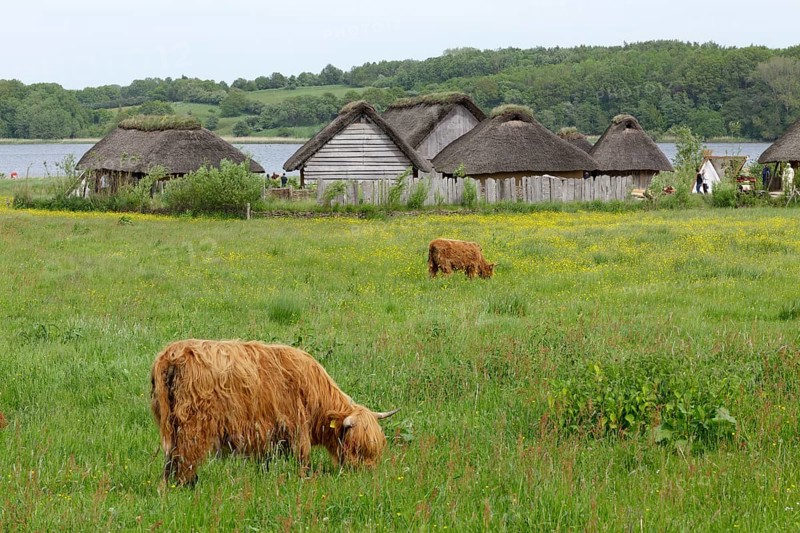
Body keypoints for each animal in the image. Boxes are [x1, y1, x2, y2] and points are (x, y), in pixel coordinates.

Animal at [150, 339, 399, 486]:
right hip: (193, 425)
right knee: (185, 458)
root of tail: (172, 354)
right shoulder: (297, 428)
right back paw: (187, 486)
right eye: (356, 447)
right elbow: (303, 459)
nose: (367, 474)